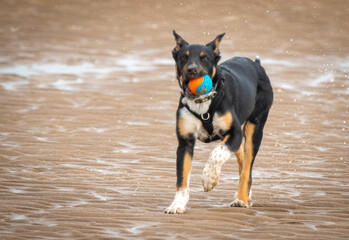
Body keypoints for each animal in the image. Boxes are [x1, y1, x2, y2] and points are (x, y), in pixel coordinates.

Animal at [164, 30, 274, 214]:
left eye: (205, 58)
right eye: (184, 57)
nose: (192, 70)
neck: (202, 103)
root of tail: (257, 66)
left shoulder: (235, 132)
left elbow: (217, 153)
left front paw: (209, 178)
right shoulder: (185, 141)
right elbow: (182, 179)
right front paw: (176, 205)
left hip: (255, 126)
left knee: (247, 165)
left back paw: (241, 199)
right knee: (241, 155)